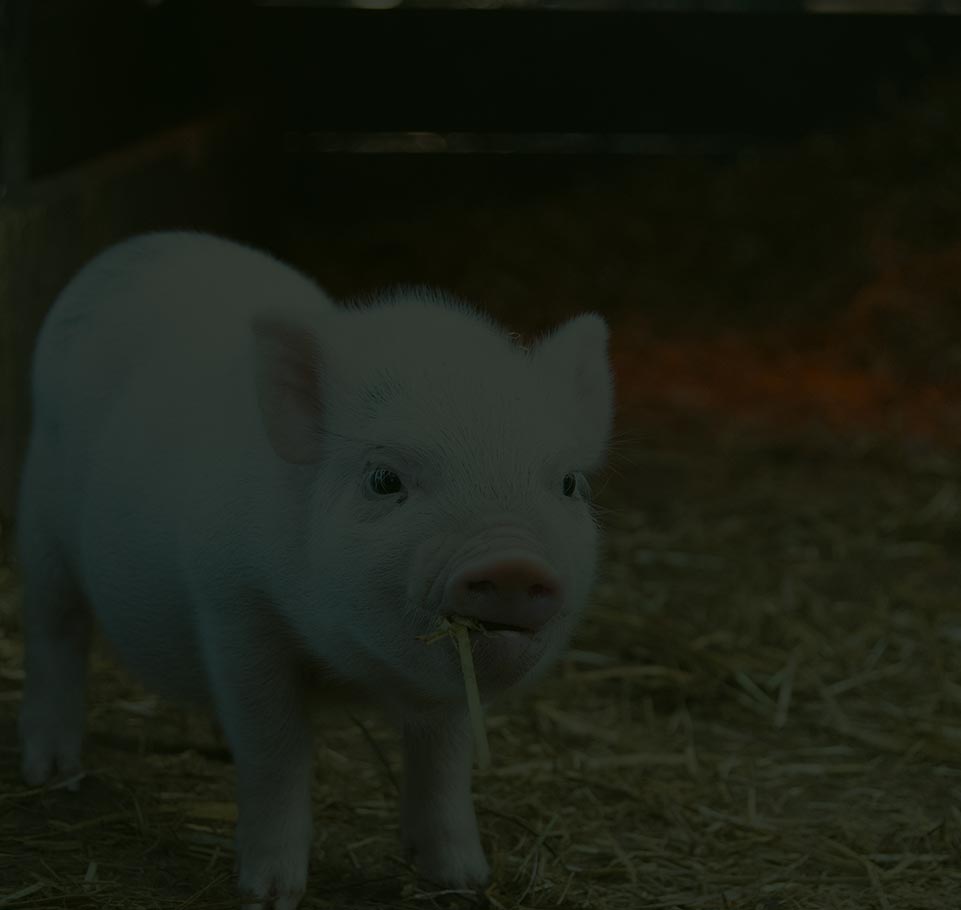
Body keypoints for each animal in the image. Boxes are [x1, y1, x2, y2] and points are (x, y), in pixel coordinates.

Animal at [16, 231, 614, 909]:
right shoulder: (234, 606)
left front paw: (463, 878)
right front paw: (270, 893)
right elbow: (276, 749)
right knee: (55, 630)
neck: (355, 670)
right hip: (40, 518)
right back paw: (51, 771)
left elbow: (444, 757)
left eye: (568, 483)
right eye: (384, 479)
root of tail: (139, 244)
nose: (512, 560)